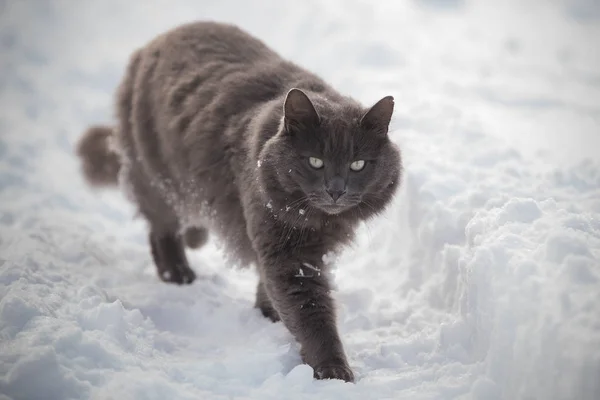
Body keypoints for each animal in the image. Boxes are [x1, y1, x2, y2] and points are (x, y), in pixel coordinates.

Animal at [76, 21, 404, 382]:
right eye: (315, 161)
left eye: (358, 165)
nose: (336, 190)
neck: (321, 220)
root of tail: (153, 43)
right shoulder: (287, 251)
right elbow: (312, 316)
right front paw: (333, 370)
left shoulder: (280, 244)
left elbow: (270, 284)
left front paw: (267, 313)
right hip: (158, 175)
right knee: (161, 229)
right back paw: (178, 275)